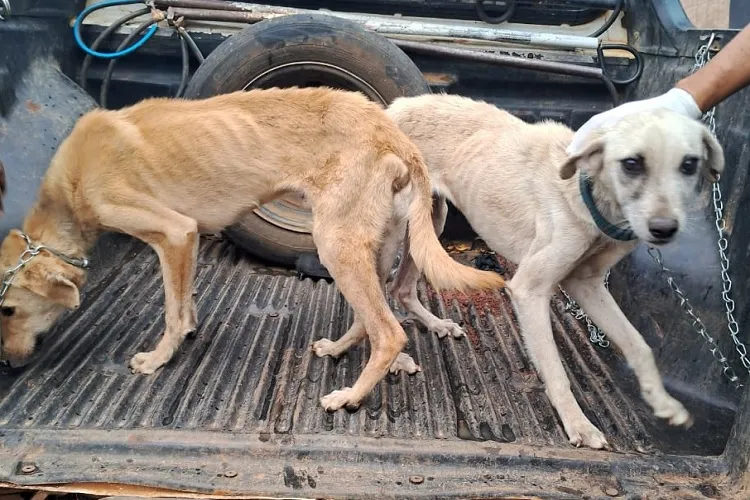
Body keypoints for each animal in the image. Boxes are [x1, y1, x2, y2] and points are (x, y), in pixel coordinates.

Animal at [0, 88, 508, 412]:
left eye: (6, 310)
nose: (7, 363)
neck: (70, 188)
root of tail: (390, 130)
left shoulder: (175, 232)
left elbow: (171, 310)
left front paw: (159, 358)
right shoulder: (188, 241)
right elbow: (184, 301)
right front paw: (189, 329)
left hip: (336, 243)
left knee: (389, 332)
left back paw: (351, 396)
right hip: (372, 243)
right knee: (371, 316)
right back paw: (339, 348)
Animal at [324, 94, 724, 450]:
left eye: (689, 165)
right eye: (631, 163)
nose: (665, 229)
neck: (584, 189)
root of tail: (394, 107)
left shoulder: (587, 285)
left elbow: (639, 345)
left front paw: (663, 402)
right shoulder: (530, 290)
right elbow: (556, 371)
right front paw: (578, 424)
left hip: (429, 221)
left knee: (402, 288)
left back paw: (435, 325)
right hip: (390, 230)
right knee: (374, 303)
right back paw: (382, 358)